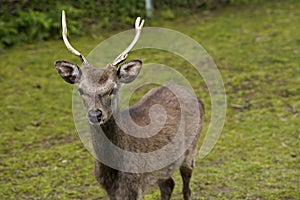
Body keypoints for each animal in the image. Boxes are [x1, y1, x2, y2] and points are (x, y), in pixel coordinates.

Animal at [54, 10, 204, 200]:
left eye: (113, 88)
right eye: (80, 90)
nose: (95, 114)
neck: (114, 170)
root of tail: (197, 98)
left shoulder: (134, 185)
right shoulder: (110, 190)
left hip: (191, 150)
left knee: (186, 188)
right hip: (163, 168)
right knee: (169, 184)